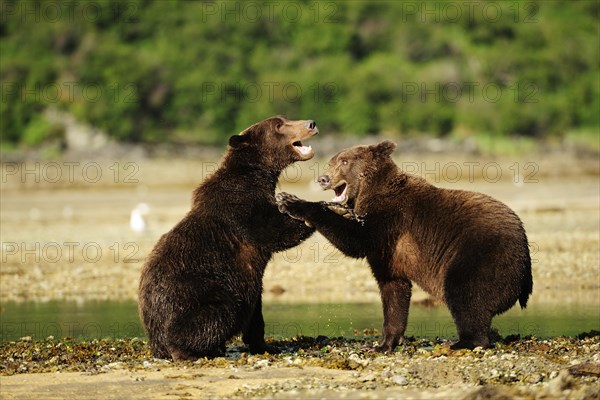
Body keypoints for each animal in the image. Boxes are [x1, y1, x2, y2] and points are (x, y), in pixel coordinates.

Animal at [139, 115, 318, 360]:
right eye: (279, 125)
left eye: (285, 118)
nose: (311, 123)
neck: (258, 174)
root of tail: (154, 339)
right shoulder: (241, 208)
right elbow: (275, 231)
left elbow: (256, 312)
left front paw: (264, 344)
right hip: (197, 294)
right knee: (221, 311)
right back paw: (191, 350)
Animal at [274, 140, 532, 350]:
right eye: (331, 161)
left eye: (344, 160)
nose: (323, 179)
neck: (369, 191)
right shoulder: (389, 254)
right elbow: (393, 290)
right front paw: (384, 343)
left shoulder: (390, 220)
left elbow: (355, 240)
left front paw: (292, 201)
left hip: (480, 255)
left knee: (464, 293)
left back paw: (463, 341)